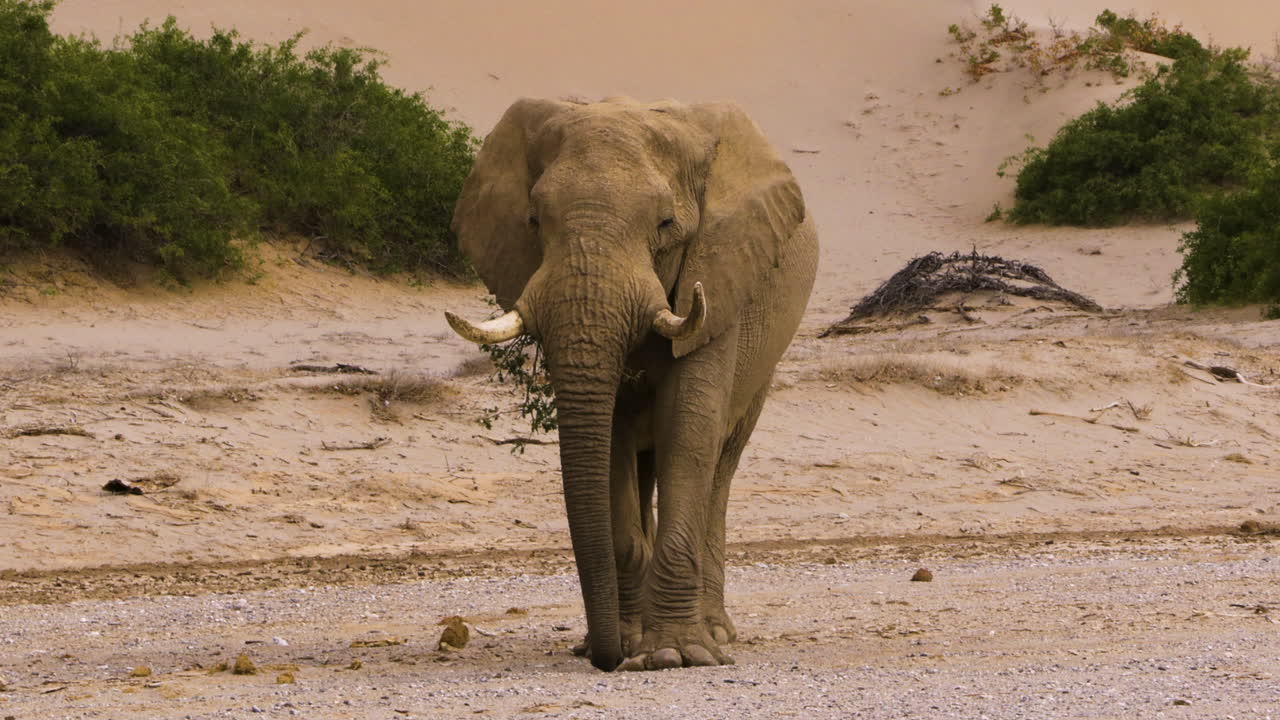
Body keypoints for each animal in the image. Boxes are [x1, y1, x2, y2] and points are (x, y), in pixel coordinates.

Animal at [445, 97, 818, 671]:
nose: (604, 659)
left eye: (666, 224)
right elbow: (613, 438)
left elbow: (688, 428)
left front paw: (672, 654)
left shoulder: (721, 273)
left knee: (720, 465)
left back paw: (715, 632)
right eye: (533, 221)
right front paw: (631, 643)